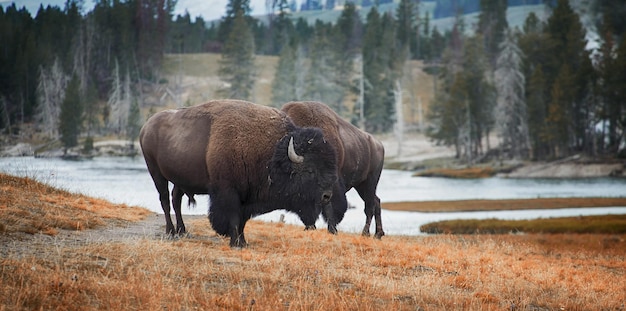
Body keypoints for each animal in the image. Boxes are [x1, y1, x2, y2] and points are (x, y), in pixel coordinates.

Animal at [140, 100, 338, 249]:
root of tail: (146, 127)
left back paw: (182, 231)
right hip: (156, 173)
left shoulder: (247, 197)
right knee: (165, 200)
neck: (272, 154)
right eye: (310, 170)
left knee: (176, 199)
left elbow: (243, 220)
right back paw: (171, 232)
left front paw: (243, 242)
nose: (327, 195)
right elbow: (234, 218)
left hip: (179, 180)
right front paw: (236, 243)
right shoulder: (229, 192)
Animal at [280, 101, 382, 238]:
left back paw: (365, 233)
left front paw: (332, 230)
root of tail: (379, 144)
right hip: (361, 185)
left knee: (369, 207)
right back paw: (378, 234)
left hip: (370, 182)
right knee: (376, 201)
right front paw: (310, 227)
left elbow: (328, 205)